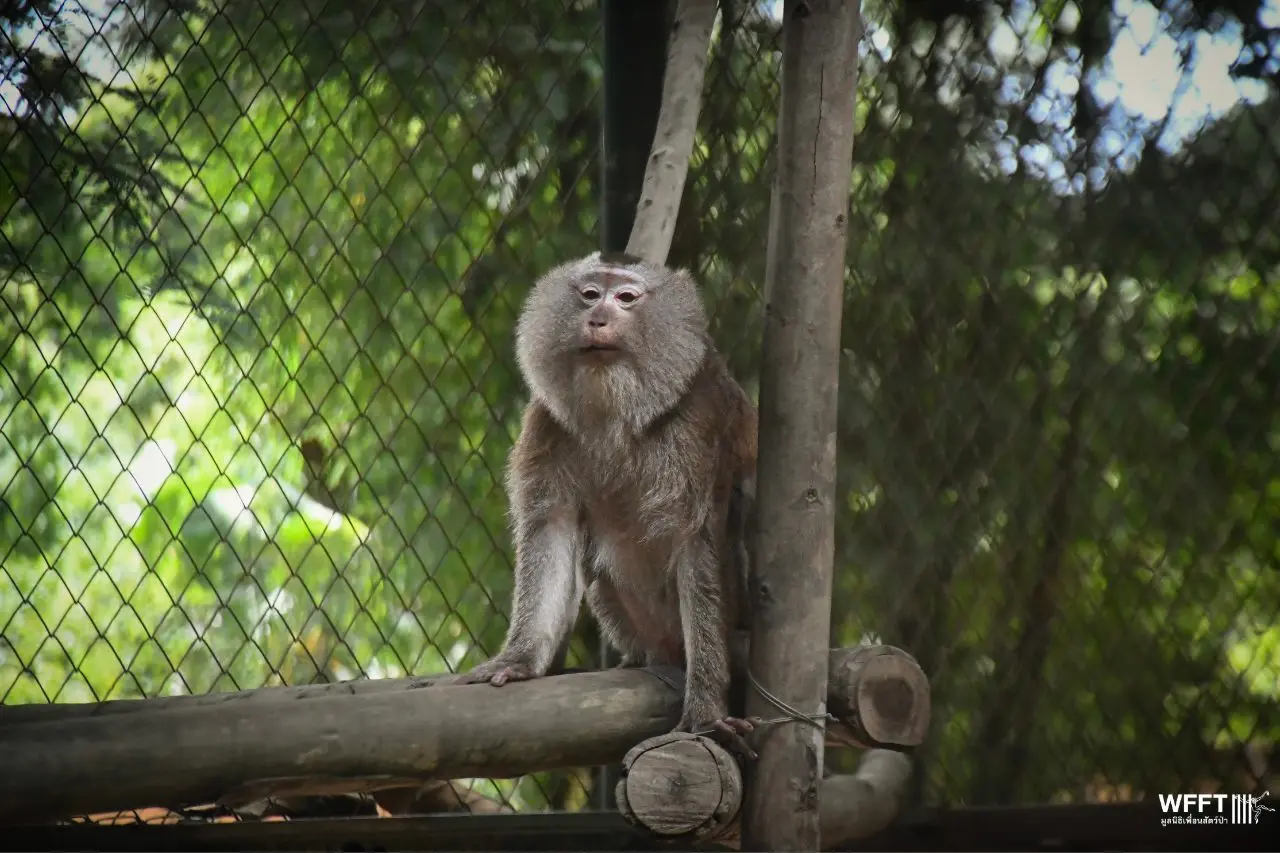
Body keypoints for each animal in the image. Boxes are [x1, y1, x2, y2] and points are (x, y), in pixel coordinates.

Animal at [457, 251, 759, 757]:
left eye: (627, 298)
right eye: (589, 294)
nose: (598, 319)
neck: (620, 411)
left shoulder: (700, 423)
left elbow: (699, 541)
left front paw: (705, 710)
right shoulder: (548, 423)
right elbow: (553, 526)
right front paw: (520, 658)